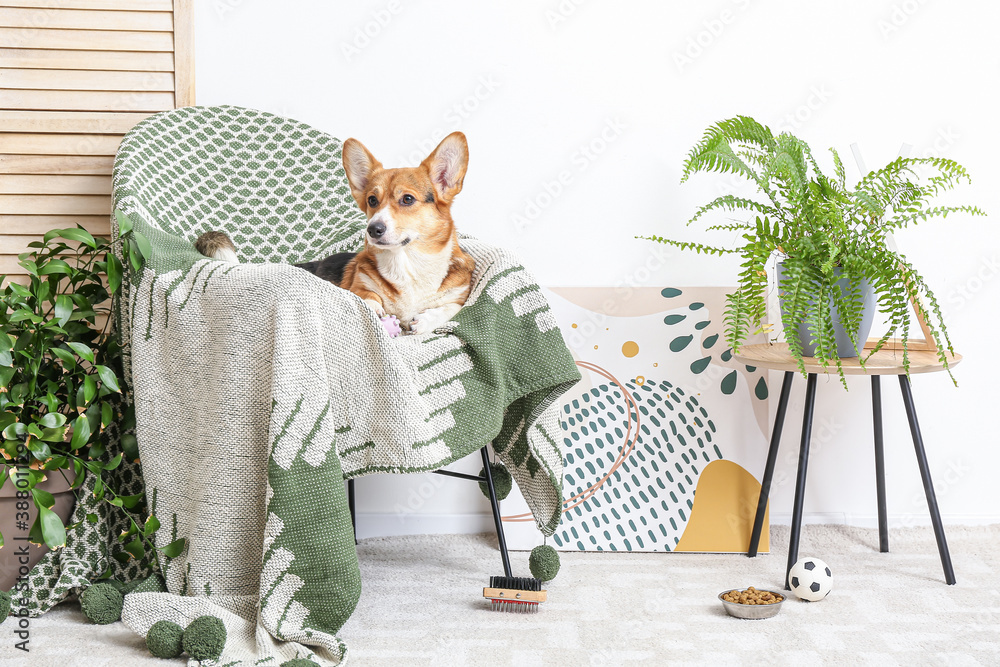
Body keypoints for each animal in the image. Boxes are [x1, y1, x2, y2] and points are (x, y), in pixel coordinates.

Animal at [198, 133, 476, 336]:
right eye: (372, 200)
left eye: (407, 199)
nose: (373, 229)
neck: (407, 262)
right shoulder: (360, 285)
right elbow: (368, 297)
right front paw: (375, 309)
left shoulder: (459, 295)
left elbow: (449, 308)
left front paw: (426, 320)